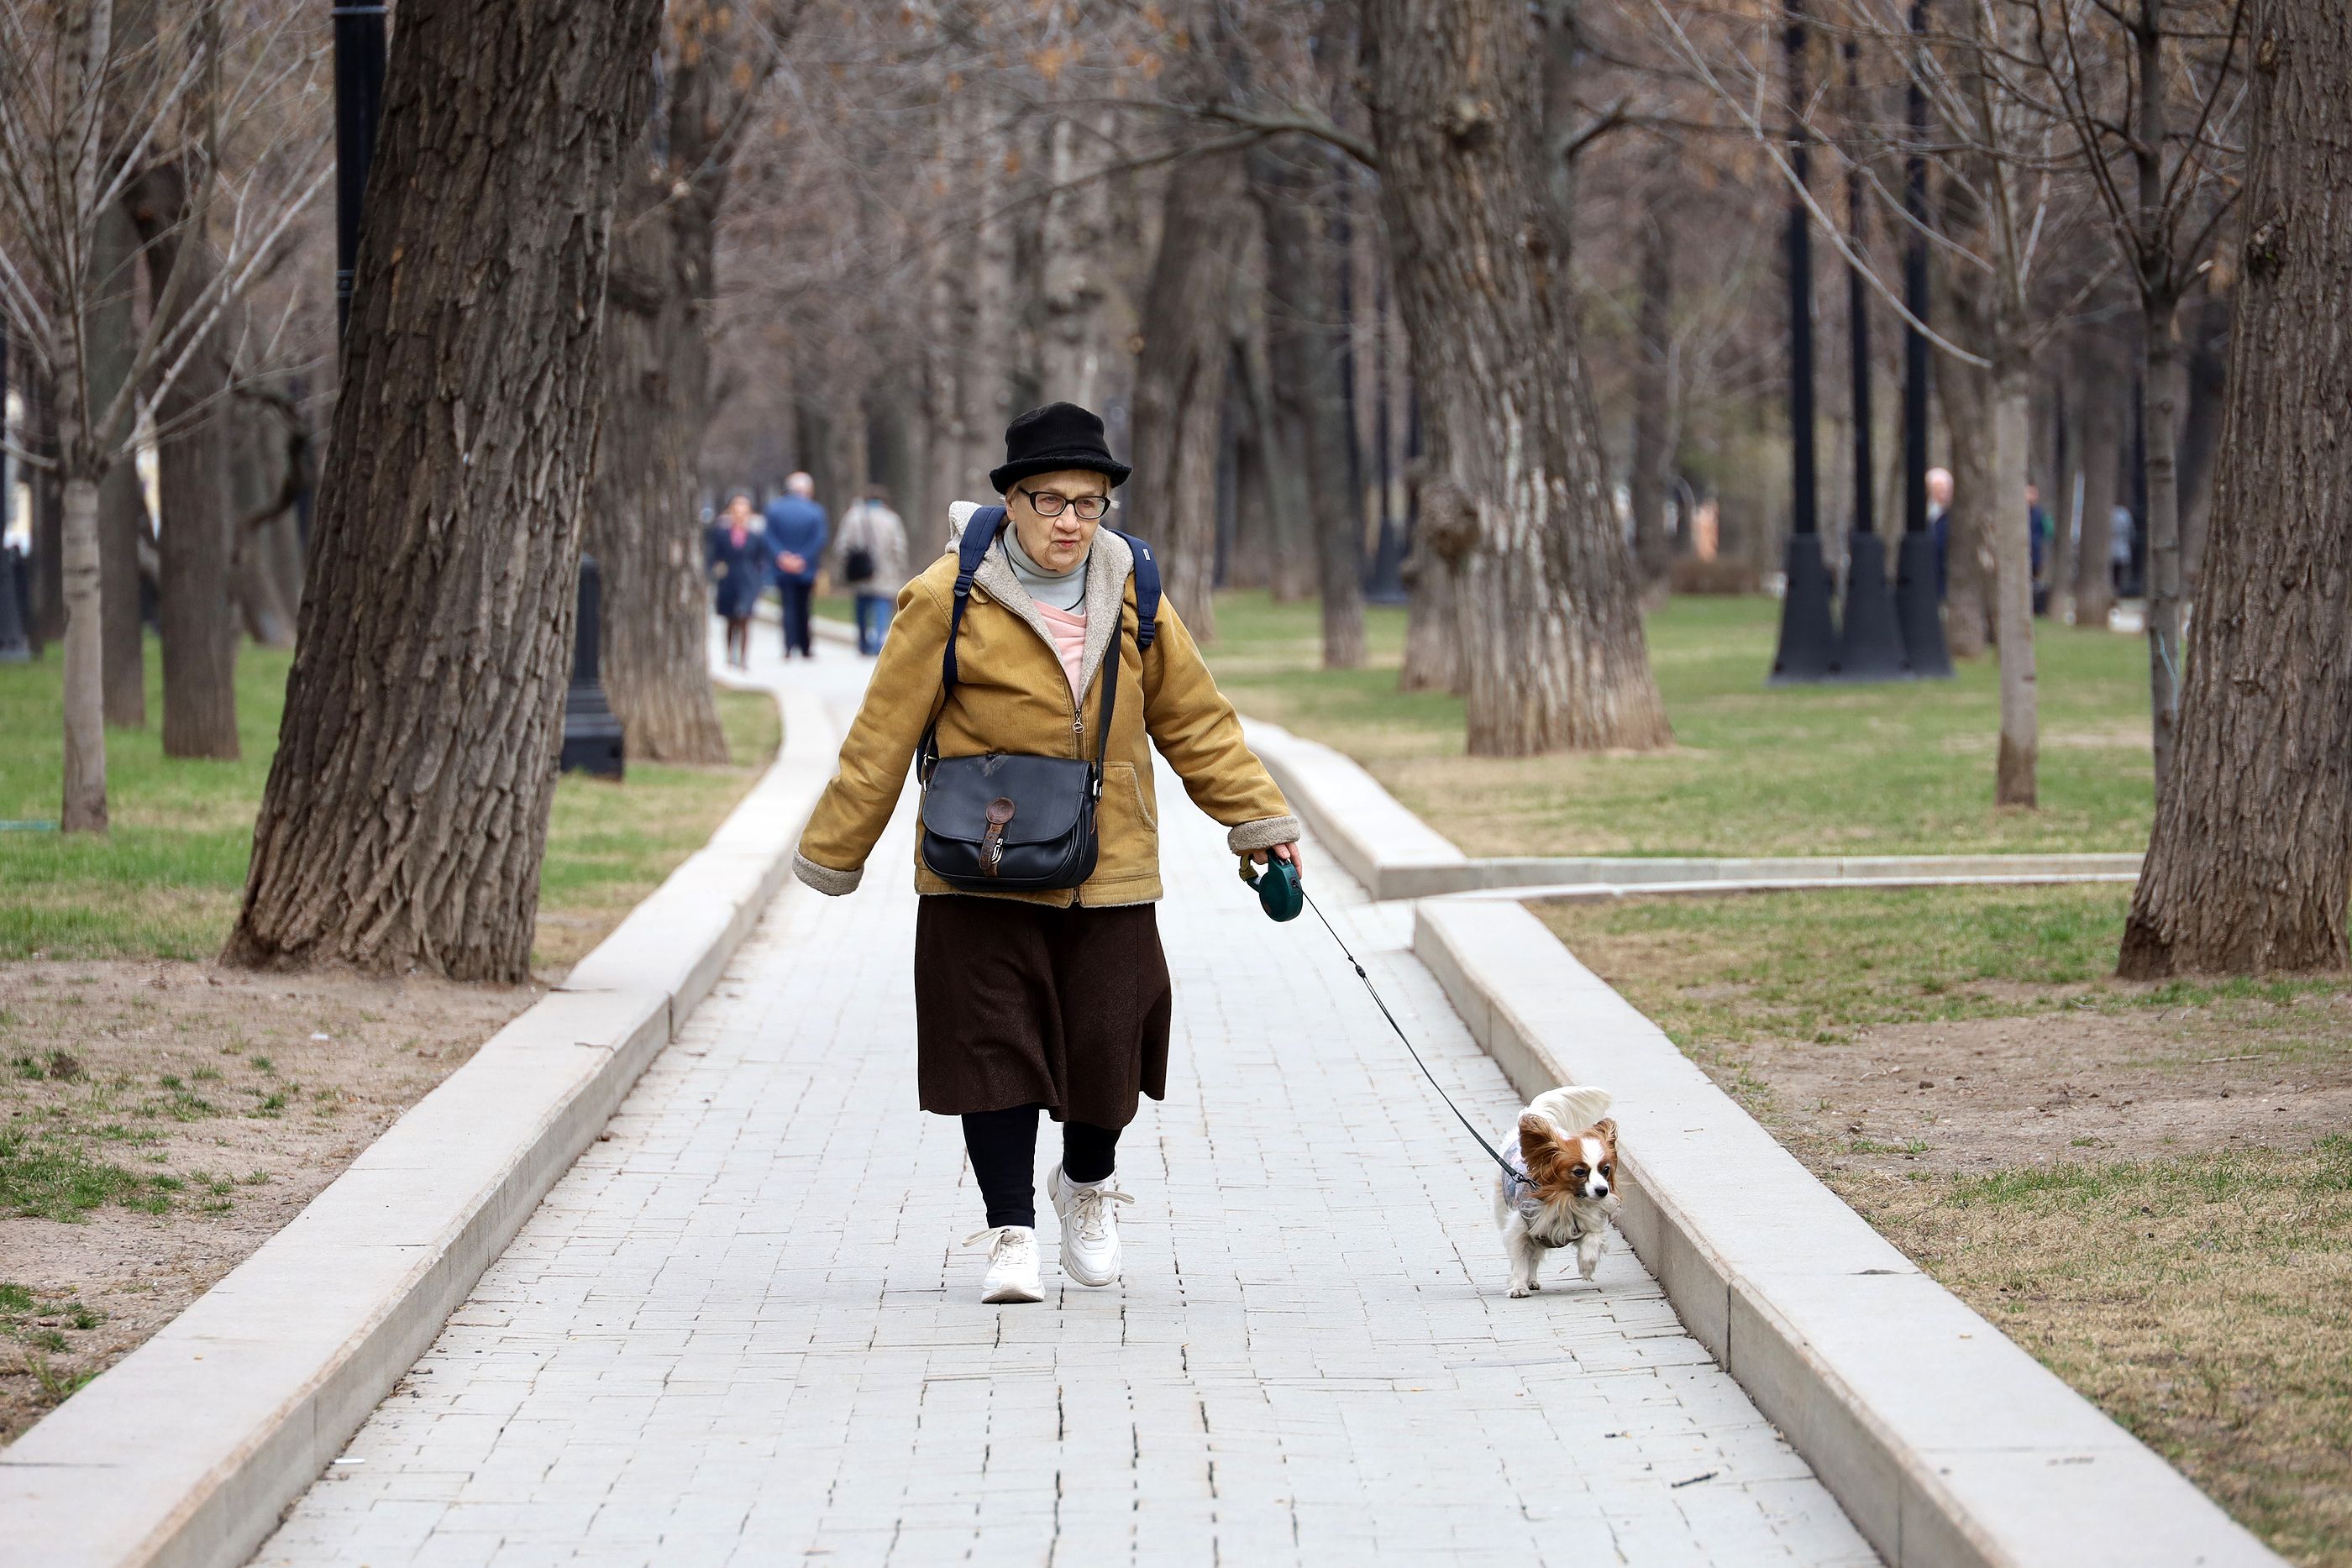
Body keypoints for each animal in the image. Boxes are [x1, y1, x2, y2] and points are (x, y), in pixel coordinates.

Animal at [1486, 1090, 1618, 1298]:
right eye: (1579, 1172)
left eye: (1605, 1170)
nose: (1602, 1191)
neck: (1567, 1200)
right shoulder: (1522, 1230)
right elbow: (1520, 1260)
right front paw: (1518, 1287)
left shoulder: (1586, 1223)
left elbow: (1593, 1237)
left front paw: (1587, 1266)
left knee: (1535, 1257)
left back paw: (1532, 1281)